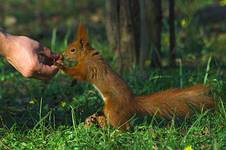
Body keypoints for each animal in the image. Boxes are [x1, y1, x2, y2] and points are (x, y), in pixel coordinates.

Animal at [55, 24, 215, 130]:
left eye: (72, 50)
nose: (62, 54)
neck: (87, 56)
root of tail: (132, 103)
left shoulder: (88, 67)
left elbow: (78, 73)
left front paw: (61, 66)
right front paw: (71, 81)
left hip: (112, 109)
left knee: (125, 127)